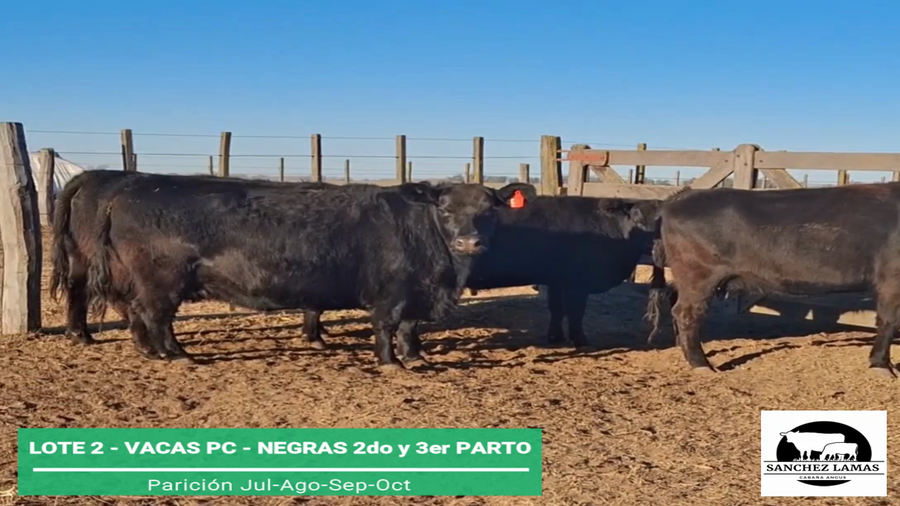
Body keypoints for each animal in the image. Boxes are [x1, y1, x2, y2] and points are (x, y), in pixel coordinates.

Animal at [51, 170, 531, 368]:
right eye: (445, 209)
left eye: (489, 208)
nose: (469, 241)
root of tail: (128, 184)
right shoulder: (390, 293)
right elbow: (386, 327)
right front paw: (391, 362)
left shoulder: (417, 291)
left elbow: (411, 328)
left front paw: (416, 356)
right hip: (160, 279)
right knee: (153, 315)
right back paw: (176, 354)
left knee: (136, 312)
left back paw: (150, 351)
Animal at [300, 194, 664, 361]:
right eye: (639, 216)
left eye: (661, 216)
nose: (654, 241)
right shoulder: (576, 282)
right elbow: (575, 313)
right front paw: (579, 339)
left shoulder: (557, 278)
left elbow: (556, 309)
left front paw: (555, 336)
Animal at [647, 183, 900, 377]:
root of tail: (680, 197)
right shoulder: (891, 278)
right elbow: (888, 320)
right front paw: (882, 365)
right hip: (699, 274)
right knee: (687, 312)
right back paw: (701, 364)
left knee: (674, 300)